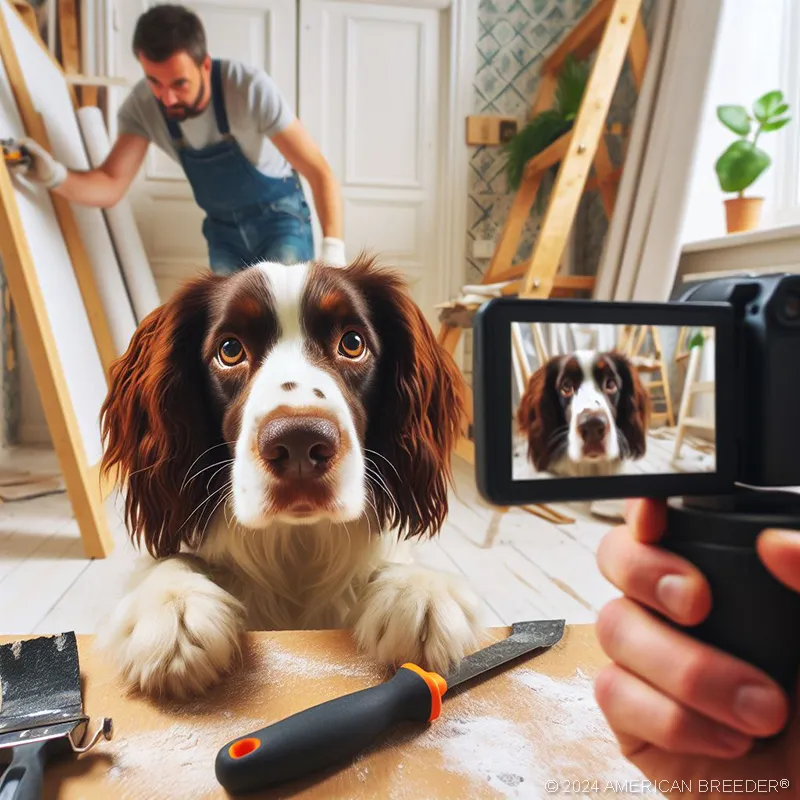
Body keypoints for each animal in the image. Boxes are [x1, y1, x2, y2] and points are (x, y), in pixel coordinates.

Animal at [95, 258, 482, 700]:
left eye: (353, 343)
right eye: (230, 350)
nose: (299, 442)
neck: (297, 545)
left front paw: (420, 591)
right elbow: (170, 559)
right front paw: (173, 607)